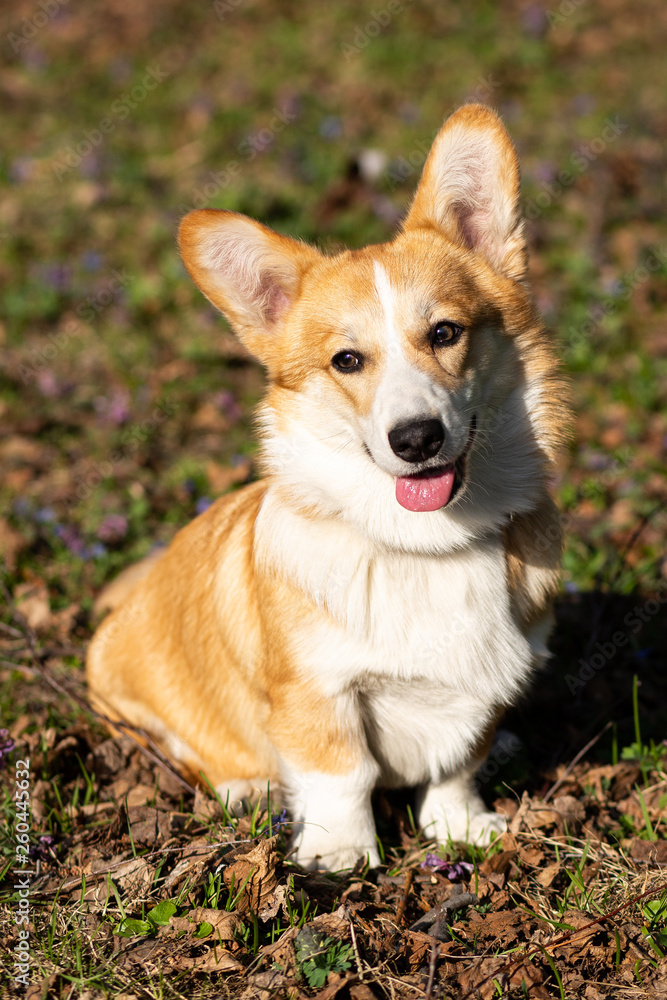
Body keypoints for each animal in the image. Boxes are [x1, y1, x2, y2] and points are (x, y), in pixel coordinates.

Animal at [87, 101, 568, 868]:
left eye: (445, 332)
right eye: (347, 360)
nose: (416, 438)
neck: (427, 546)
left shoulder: (485, 689)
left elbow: (457, 764)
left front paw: (459, 826)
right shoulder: (317, 692)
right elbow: (344, 772)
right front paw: (341, 856)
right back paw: (245, 789)